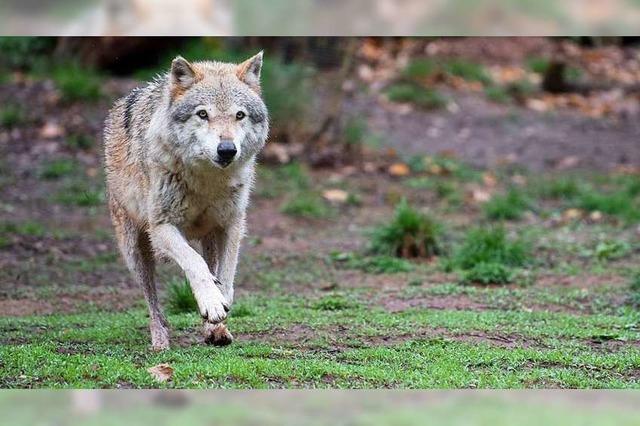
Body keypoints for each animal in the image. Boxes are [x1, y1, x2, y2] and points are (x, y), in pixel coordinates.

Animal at [104, 50, 268, 350]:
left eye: (239, 115)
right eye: (203, 114)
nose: (227, 150)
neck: (207, 180)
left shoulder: (232, 225)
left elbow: (226, 276)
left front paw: (218, 308)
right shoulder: (161, 227)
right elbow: (194, 263)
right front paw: (211, 302)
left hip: (209, 237)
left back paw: (216, 331)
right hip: (134, 251)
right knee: (153, 303)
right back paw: (160, 341)